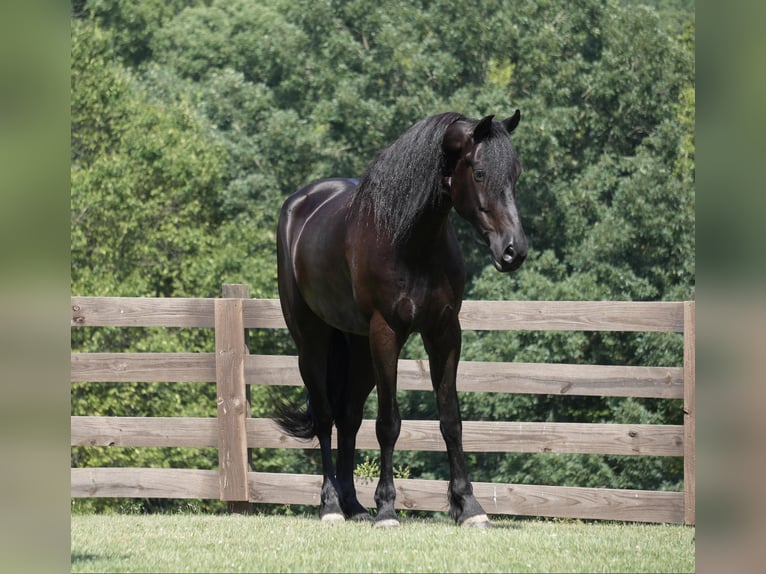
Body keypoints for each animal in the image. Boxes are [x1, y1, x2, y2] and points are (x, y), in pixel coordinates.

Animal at [275, 111, 527, 528]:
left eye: (515, 174)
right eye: (478, 173)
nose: (513, 251)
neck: (411, 240)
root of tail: (300, 205)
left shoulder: (444, 331)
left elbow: (451, 419)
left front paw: (468, 506)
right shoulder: (387, 332)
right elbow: (388, 423)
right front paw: (387, 508)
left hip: (359, 347)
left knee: (348, 417)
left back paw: (354, 505)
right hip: (312, 342)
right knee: (326, 416)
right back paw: (331, 505)